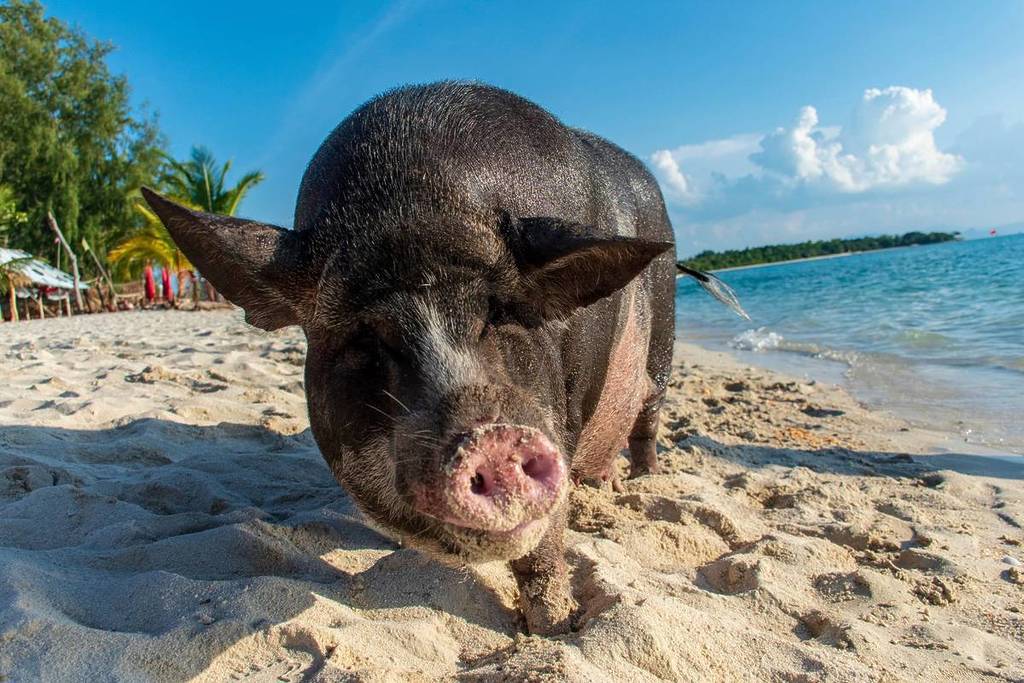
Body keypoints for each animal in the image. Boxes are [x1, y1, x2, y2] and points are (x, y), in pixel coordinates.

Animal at [141, 81, 677, 635]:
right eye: (364, 336)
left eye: (498, 313)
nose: (490, 438)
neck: (411, 198)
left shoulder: (565, 414)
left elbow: (543, 541)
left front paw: (554, 628)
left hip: (663, 342)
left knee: (647, 421)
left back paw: (641, 478)